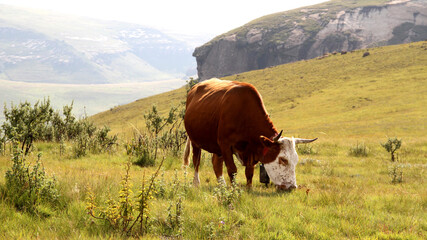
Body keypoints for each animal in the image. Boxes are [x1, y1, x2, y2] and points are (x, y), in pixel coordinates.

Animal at [182, 79, 316, 190]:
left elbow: (249, 171)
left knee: (216, 163)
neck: (244, 114)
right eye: (283, 159)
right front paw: (234, 190)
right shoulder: (225, 145)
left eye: (296, 160)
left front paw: (249, 189)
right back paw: (196, 183)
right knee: (196, 161)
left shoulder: (251, 149)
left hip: (216, 146)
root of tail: (194, 88)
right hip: (195, 141)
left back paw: (222, 185)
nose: (292, 186)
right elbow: (232, 170)